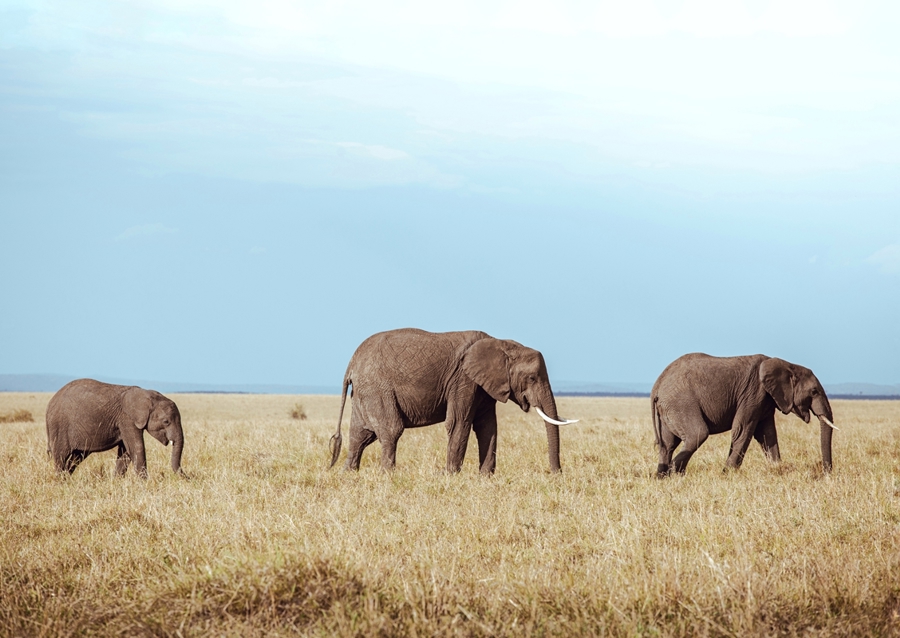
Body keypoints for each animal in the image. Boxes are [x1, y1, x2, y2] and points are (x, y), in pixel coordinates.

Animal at [46, 378, 184, 477]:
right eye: (166, 422)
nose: (187, 478)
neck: (147, 395)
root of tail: (50, 403)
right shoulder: (127, 419)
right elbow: (137, 447)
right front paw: (144, 484)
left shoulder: (125, 422)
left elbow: (126, 451)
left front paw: (117, 481)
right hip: (59, 427)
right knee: (61, 457)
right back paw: (60, 481)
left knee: (76, 458)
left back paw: (66, 479)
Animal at [329, 328, 577, 474]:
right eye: (532, 378)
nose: (556, 474)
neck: (502, 343)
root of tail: (352, 362)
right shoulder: (463, 380)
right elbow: (459, 423)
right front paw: (451, 476)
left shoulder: (483, 386)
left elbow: (488, 427)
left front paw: (485, 478)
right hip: (377, 387)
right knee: (391, 430)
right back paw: (388, 476)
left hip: (365, 391)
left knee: (360, 435)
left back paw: (348, 474)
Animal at [652, 353, 837, 476]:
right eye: (814, 392)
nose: (826, 472)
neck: (788, 364)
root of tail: (657, 386)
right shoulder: (753, 394)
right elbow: (742, 430)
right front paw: (727, 474)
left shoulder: (766, 400)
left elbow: (767, 435)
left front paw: (777, 469)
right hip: (680, 402)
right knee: (698, 434)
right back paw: (673, 473)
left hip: (668, 409)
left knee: (667, 445)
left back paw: (662, 476)